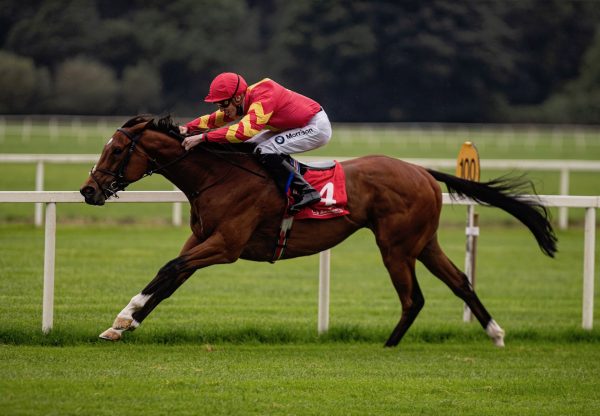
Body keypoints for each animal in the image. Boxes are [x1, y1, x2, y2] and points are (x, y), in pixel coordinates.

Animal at [79, 114, 556, 348]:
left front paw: (123, 318)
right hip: (423, 242)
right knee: (460, 282)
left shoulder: (225, 245)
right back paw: (495, 333)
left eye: (116, 150)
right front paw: (121, 325)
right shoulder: (201, 239)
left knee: (413, 298)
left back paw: (389, 346)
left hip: (396, 245)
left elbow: (168, 268)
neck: (218, 175)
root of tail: (421, 170)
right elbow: (169, 279)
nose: (88, 190)